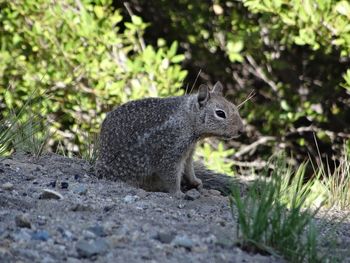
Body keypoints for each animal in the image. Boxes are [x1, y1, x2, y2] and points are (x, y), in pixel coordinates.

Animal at [95, 82, 243, 198]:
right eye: (220, 113)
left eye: (234, 107)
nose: (241, 130)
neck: (188, 117)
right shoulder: (171, 151)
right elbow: (171, 174)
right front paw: (178, 193)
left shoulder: (189, 151)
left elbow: (189, 169)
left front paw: (196, 181)